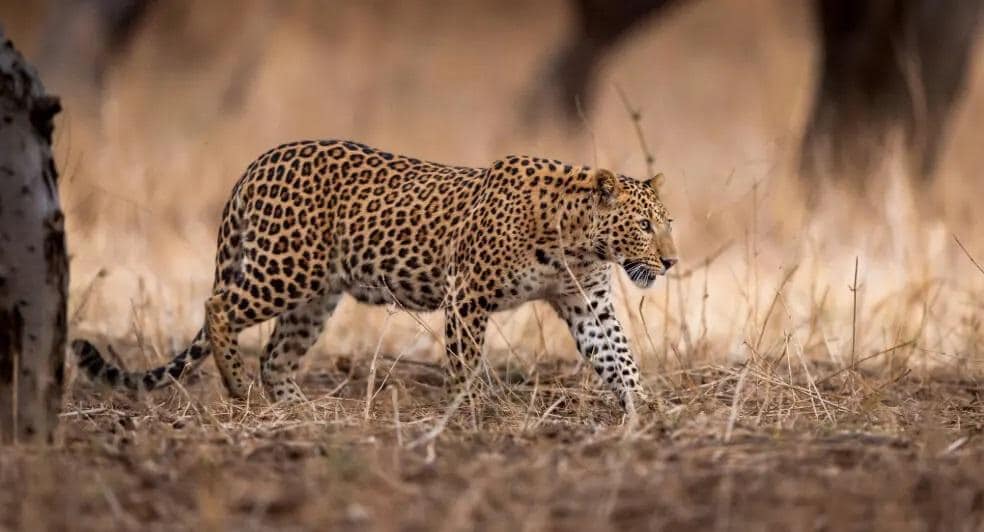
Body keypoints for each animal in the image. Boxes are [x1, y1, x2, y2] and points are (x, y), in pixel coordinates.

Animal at [72, 140, 678, 411]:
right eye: (644, 226)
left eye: (666, 223)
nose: (671, 262)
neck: (578, 240)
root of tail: (256, 164)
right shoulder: (467, 293)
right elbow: (464, 360)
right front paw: (472, 407)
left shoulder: (586, 302)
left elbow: (618, 355)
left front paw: (644, 406)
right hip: (285, 269)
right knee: (218, 307)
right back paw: (237, 386)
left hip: (315, 296)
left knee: (276, 354)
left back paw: (296, 408)